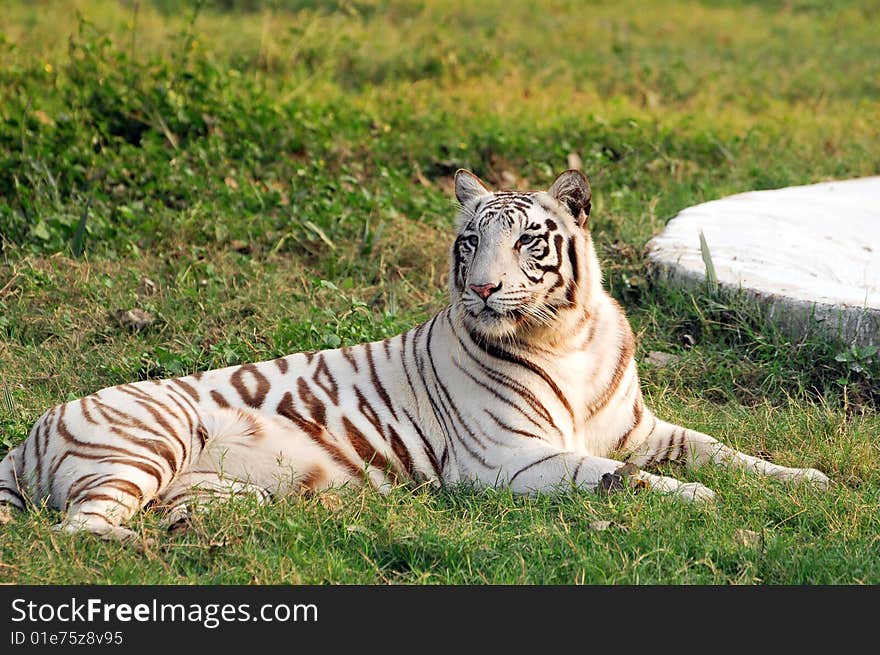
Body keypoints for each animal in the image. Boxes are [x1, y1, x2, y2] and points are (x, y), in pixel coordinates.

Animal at [0, 169, 824, 544]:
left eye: (528, 239)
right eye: (470, 241)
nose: (484, 286)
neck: (569, 338)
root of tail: (24, 438)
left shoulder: (639, 428)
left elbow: (722, 449)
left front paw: (806, 480)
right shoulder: (508, 459)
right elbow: (617, 478)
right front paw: (699, 500)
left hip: (203, 487)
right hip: (146, 439)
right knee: (82, 528)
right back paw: (147, 548)